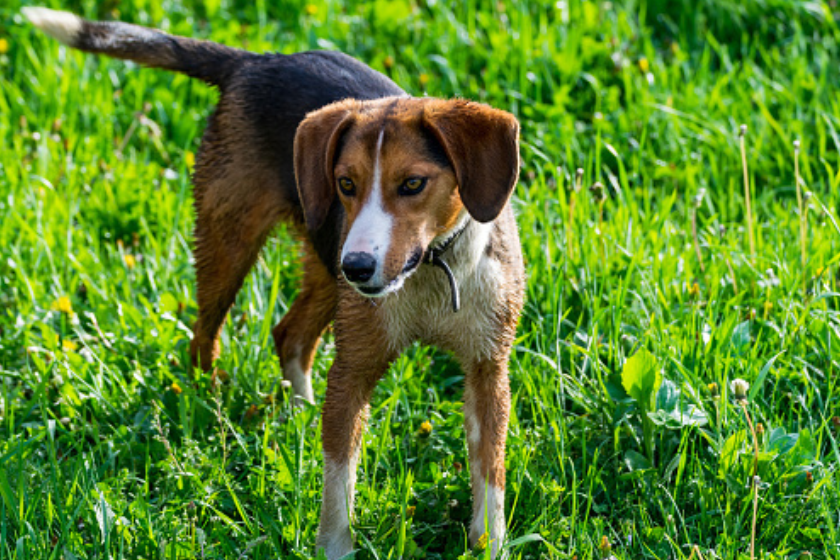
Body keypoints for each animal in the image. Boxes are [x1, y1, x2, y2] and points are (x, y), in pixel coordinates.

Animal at [24, 7, 524, 556]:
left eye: (413, 184)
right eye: (346, 183)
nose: (358, 266)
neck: (432, 267)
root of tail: (255, 60)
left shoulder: (488, 370)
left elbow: (490, 473)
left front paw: (491, 543)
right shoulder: (352, 370)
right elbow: (339, 482)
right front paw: (335, 549)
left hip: (324, 270)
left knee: (290, 334)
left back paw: (300, 414)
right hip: (232, 243)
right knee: (205, 339)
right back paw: (213, 410)